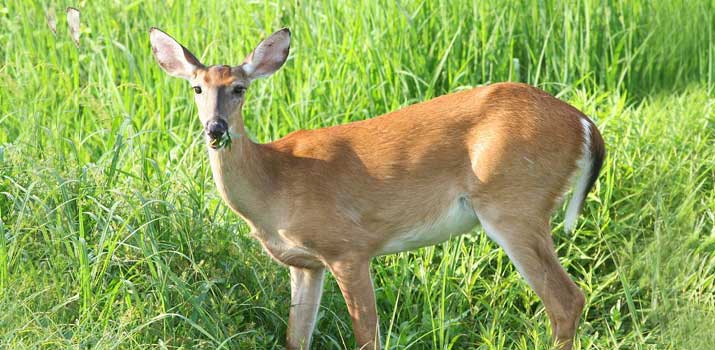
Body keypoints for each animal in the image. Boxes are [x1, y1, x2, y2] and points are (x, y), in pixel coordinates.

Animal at [150, 26, 604, 348]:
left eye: (239, 88)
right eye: (197, 87)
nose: (215, 128)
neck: (275, 184)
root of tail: (584, 124)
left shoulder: (349, 248)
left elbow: (367, 337)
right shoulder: (306, 264)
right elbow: (296, 338)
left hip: (514, 204)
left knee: (566, 301)